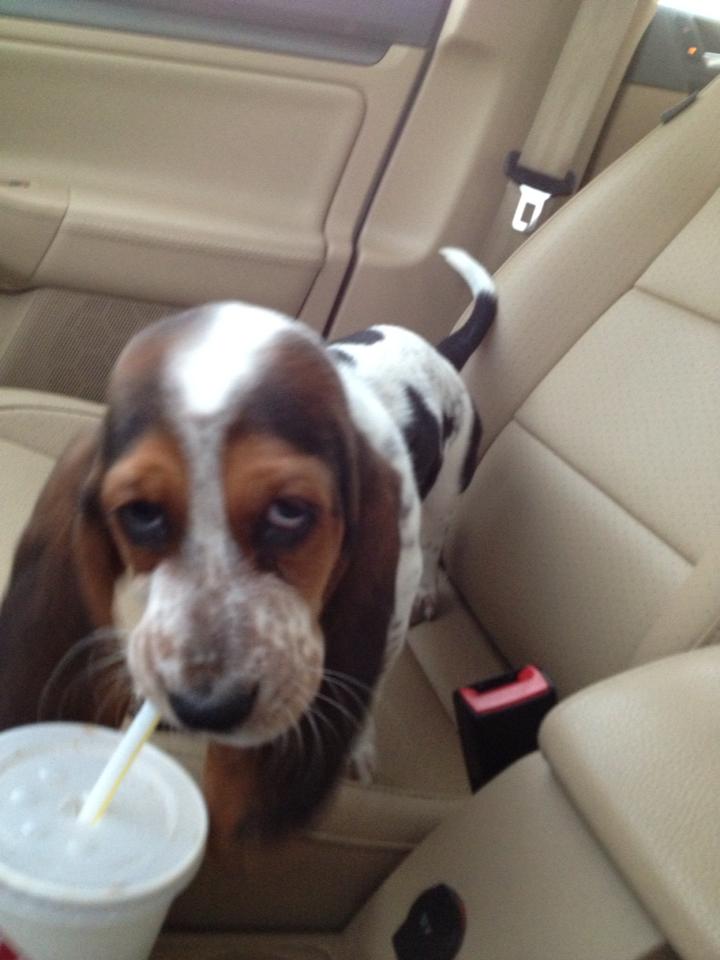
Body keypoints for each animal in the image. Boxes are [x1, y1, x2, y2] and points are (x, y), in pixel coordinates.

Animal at [0, 249, 496, 840]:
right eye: (140, 514)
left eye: (290, 511)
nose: (204, 708)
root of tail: (437, 350)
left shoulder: (388, 604)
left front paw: (355, 746)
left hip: (446, 492)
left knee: (437, 539)